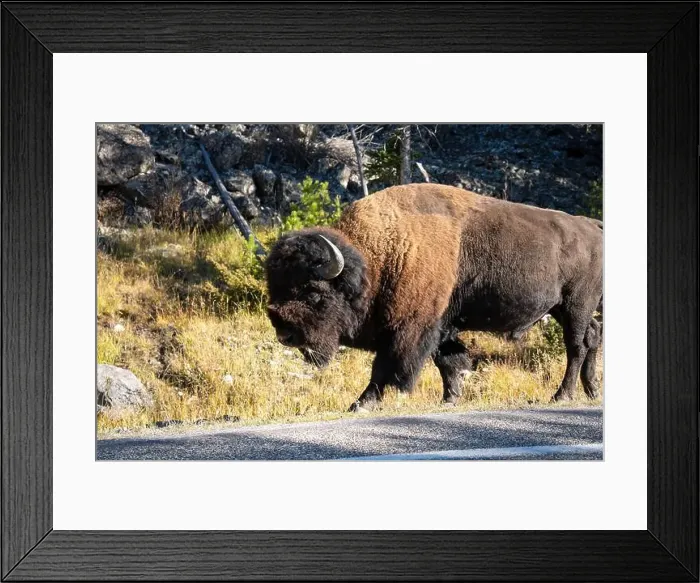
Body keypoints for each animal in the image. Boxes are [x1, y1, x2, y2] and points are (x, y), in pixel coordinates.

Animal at [266, 184, 603, 412]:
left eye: (312, 291)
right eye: (274, 286)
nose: (284, 333)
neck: (380, 256)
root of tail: (592, 225)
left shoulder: (410, 329)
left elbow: (386, 367)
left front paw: (361, 403)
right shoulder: (442, 325)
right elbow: (449, 361)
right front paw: (450, 399)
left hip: (576, 304)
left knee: (575, 345)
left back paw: (563, 395)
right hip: (562, 308)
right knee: (592, 337)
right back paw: (591, 390)